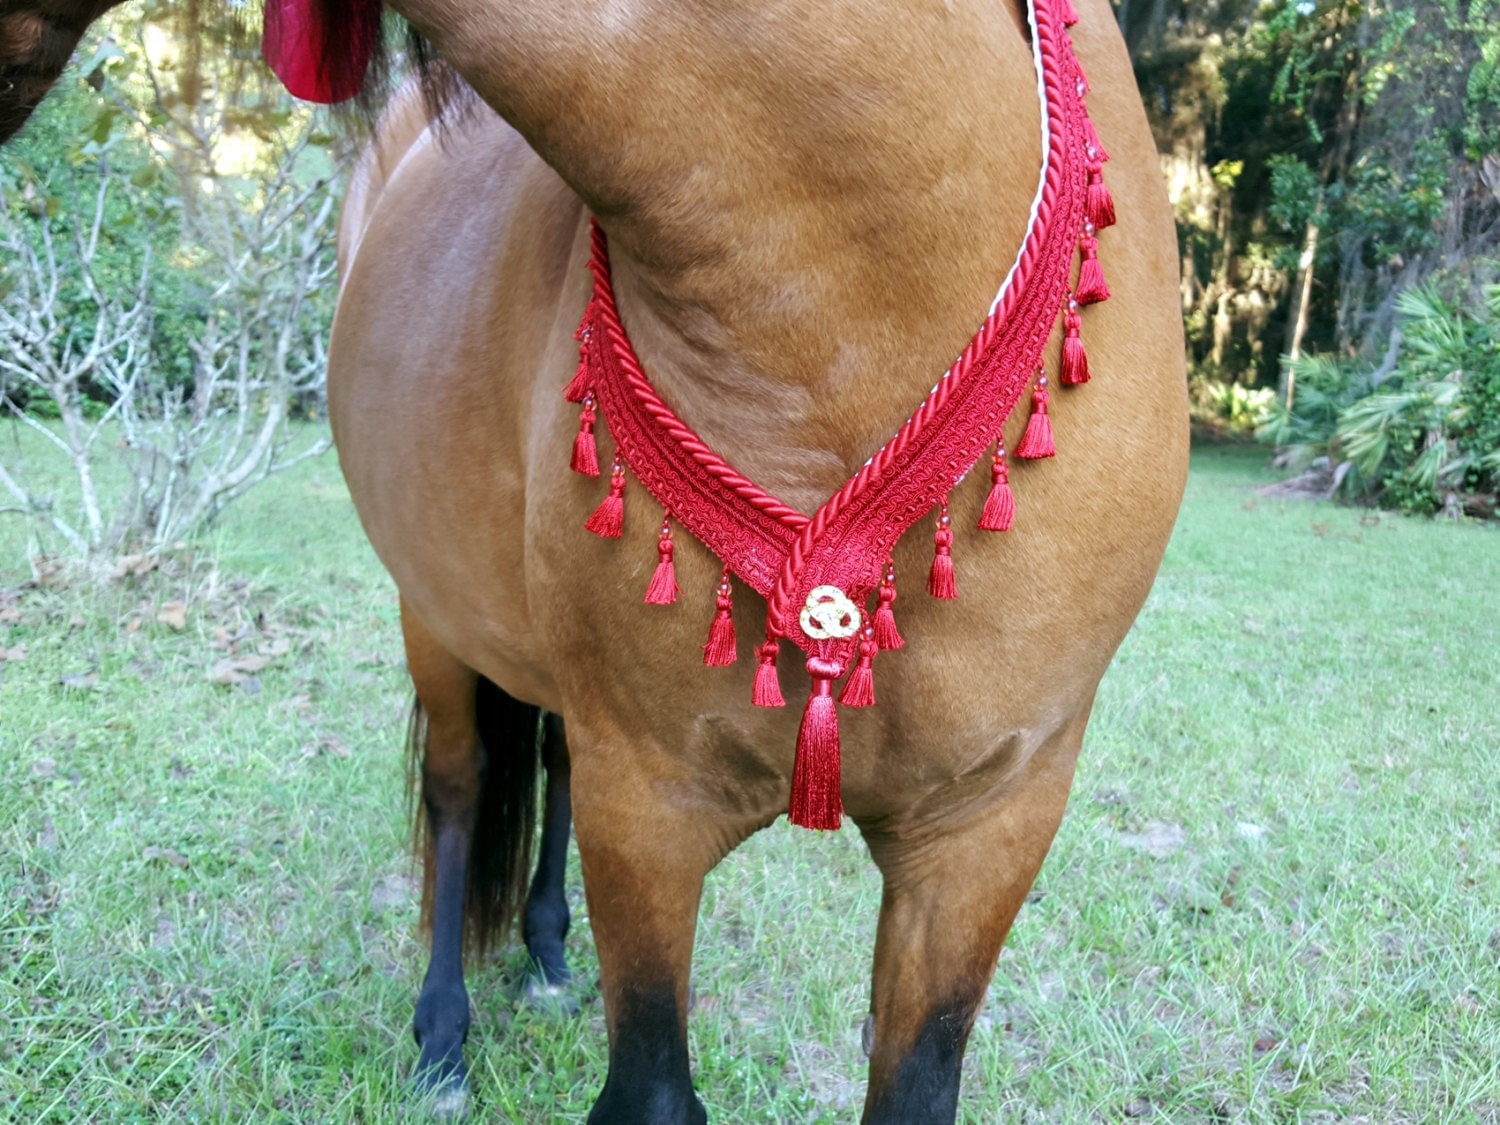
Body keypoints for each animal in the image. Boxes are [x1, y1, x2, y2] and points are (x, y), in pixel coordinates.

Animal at [3, 1, 1189, 1120]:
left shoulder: (993, 819)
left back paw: (544, 948)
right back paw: (443, 1035)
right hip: (432, 607)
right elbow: (650, 1089)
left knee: (545, 760)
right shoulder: (648, 803)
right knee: (460, 788)